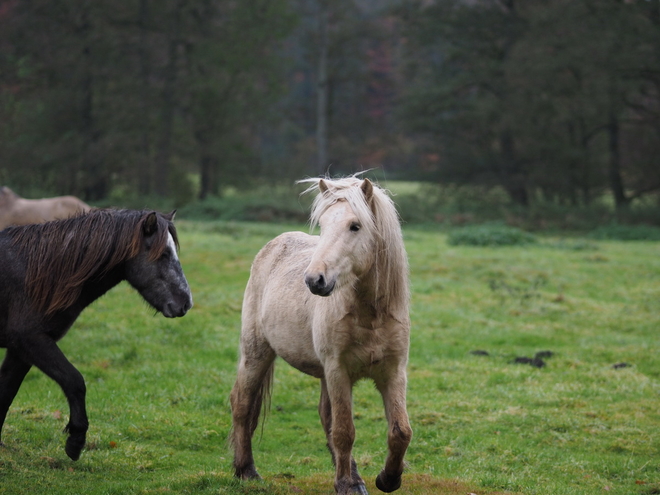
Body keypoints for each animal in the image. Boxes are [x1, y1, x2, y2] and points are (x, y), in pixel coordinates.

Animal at [0, 207, 193, 460]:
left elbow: (5, 395)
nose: (186, 303)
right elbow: (75, 381)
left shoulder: (20, 352)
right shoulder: (31, 341)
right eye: (163, 255)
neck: (31, 272)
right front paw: (75, 441)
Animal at [229, 178, 410, 495]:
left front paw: (387, 479)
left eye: (355, 226)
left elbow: (400, 431)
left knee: (326, 416)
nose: (315, 280)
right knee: (242, 404)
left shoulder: (393, 372)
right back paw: (246, 470)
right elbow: (344, 431)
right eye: (323, 226)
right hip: (256, 353)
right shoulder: (338, 370)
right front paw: (347, 485)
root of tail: (273, 246)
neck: (370, 316)